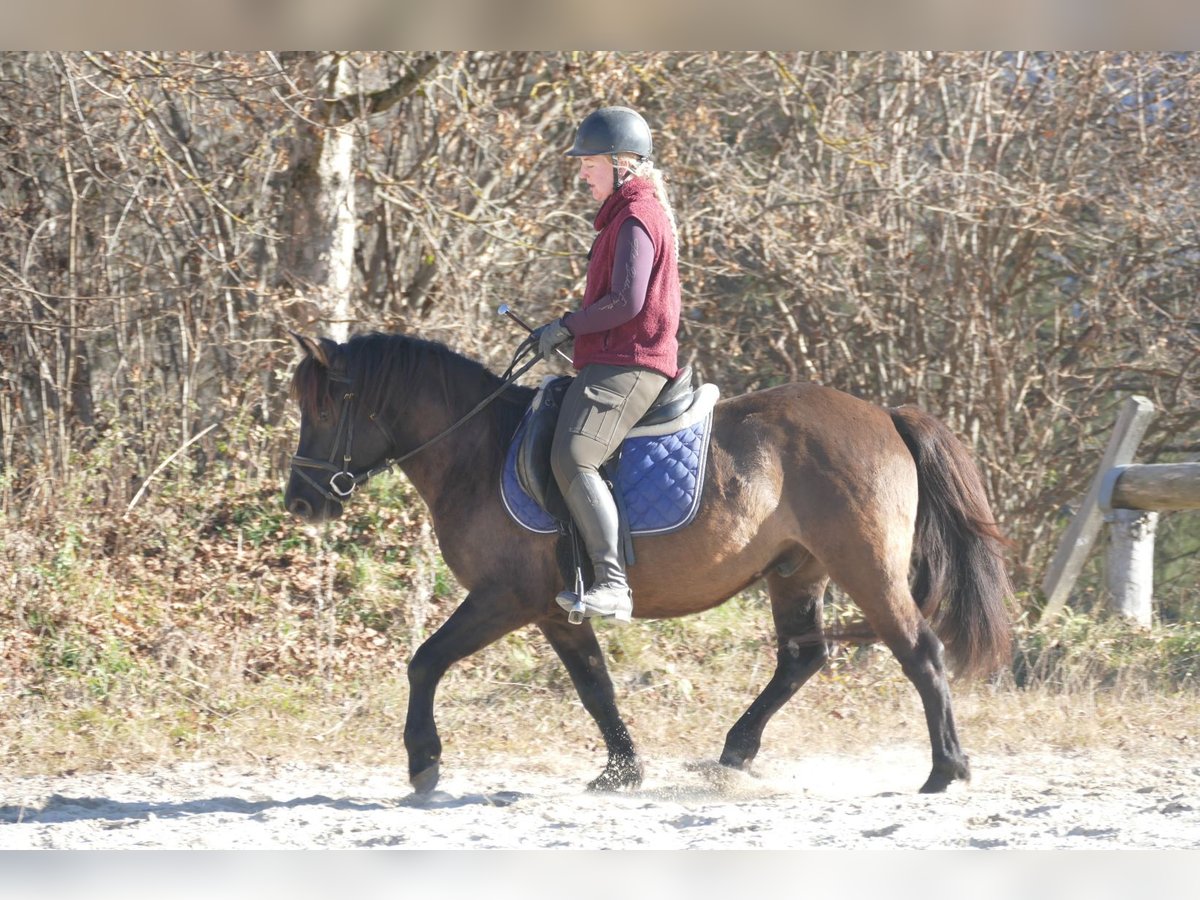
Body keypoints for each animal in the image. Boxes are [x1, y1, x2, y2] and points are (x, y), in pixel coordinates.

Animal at [283, 331, 1012, 796]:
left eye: (324, 406)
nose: (300, 501)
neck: (478, 451)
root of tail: (885, 415)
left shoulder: (505, 598)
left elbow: (424, 660)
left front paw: (423, 762)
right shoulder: (556, 610)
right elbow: (596, 686)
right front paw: (621, 772)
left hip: (867, 568)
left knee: (920, 653)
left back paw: (945, 770)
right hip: (796, 572)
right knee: (802, 659)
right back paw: (733, 754)